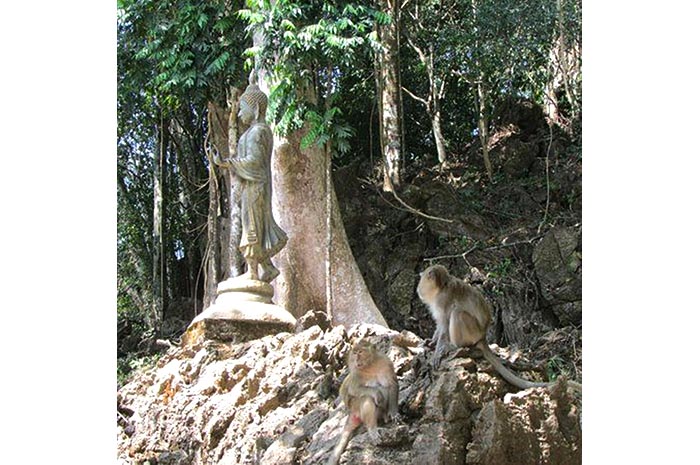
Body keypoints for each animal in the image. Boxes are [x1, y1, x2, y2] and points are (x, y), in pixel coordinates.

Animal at [418, 264, 584, 392]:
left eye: (422, 279)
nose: (418, 290)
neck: (441, 287)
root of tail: (483, 336)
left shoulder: (443, 300)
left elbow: (444, 325)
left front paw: (438, 353)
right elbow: (439, 326)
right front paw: (431, 343)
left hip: (473, 332)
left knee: (458, 313)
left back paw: (456, 346)